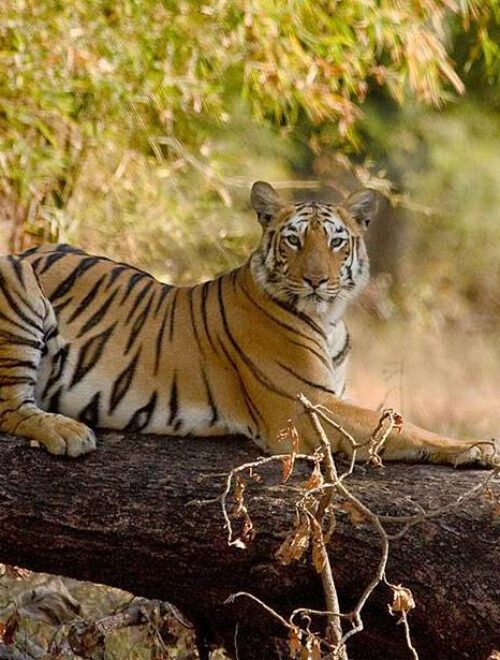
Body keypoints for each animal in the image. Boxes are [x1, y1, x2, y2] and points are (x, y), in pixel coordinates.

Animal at [0, 181, 497, 467]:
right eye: (294, 240)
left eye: (336, 242)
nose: (316, 279)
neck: (330, 319)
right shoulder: (305, 407)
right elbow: (394, 422)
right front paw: (475, 448)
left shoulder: (329, 395)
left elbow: (391, 420)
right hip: (18, 286)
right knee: (10, 408)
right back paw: (68, 433)